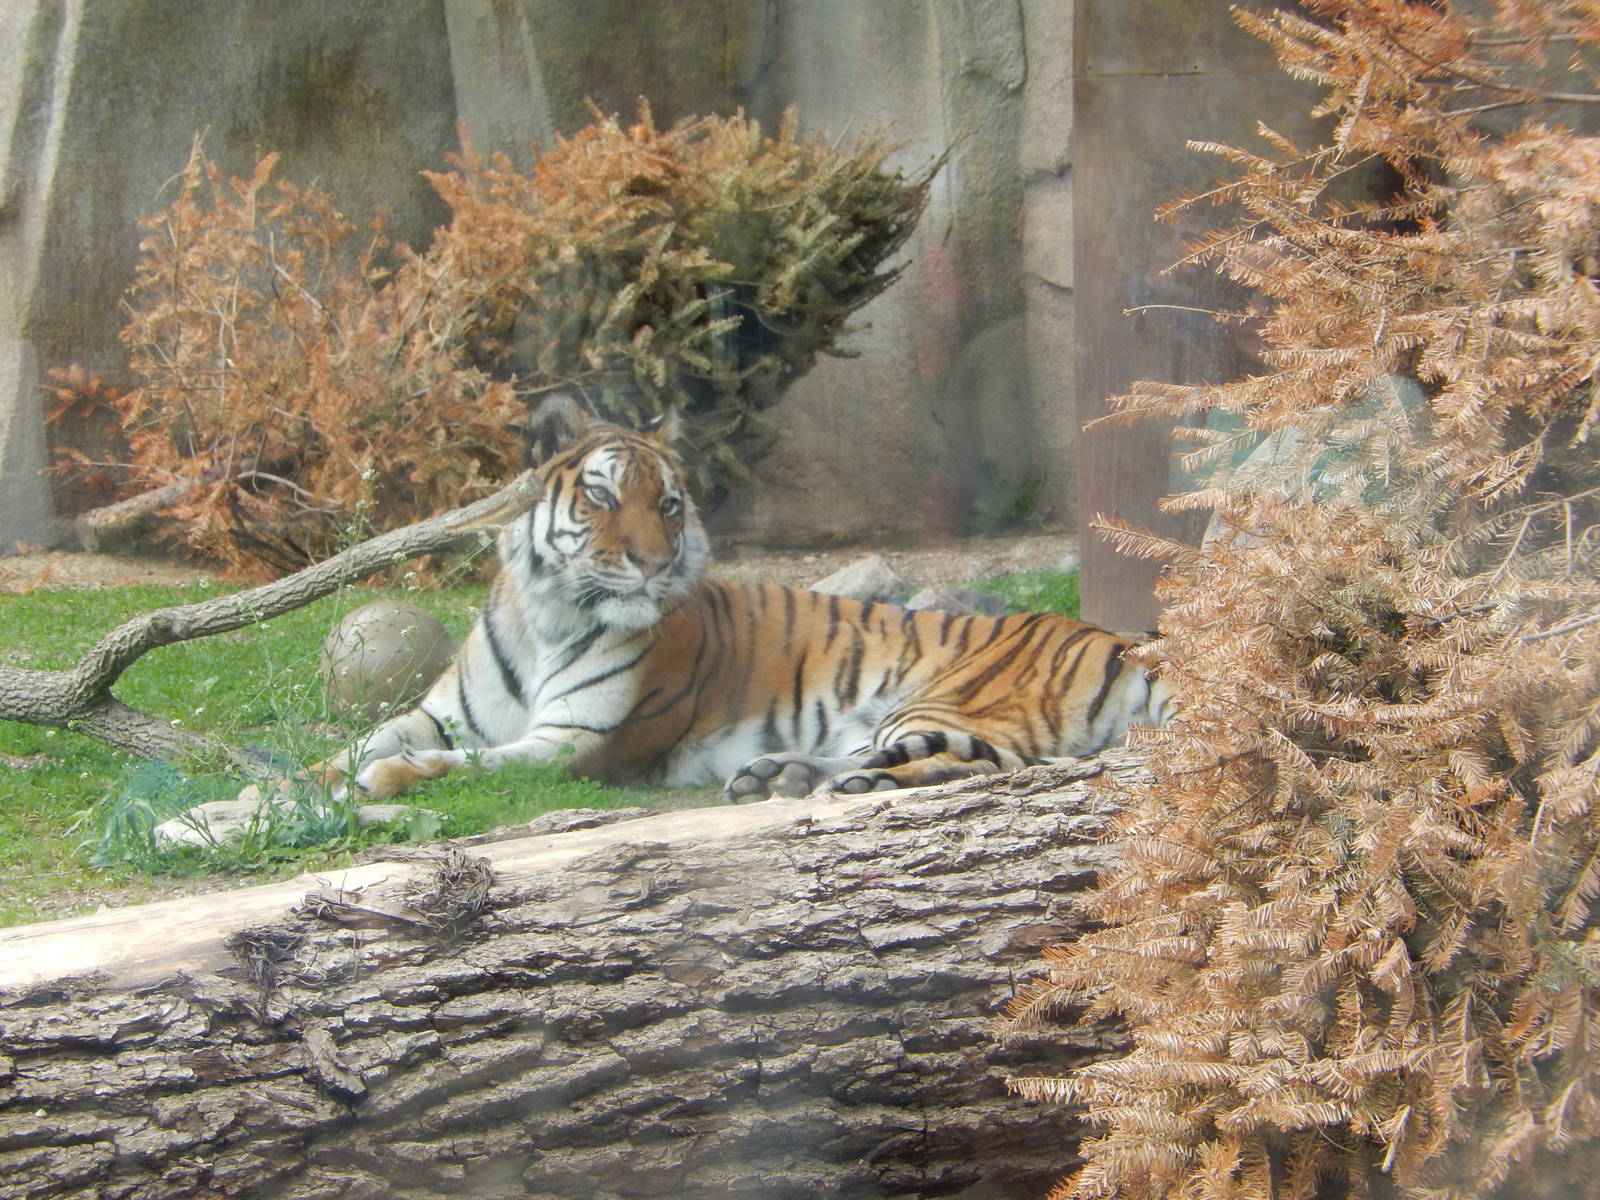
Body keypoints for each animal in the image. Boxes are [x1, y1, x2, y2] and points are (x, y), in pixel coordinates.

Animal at [301, 396, 1175, 805]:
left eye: (669, 505)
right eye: (602, 496)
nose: (656, 567)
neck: (546, 616)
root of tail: (1121, 642)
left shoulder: (572, 744)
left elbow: (465, 767)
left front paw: (380, 783)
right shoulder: (440, 714)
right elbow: (350, 749)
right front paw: (287, 789)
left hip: (949, 702)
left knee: (974, 767)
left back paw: (829, 784)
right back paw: (784, 777)